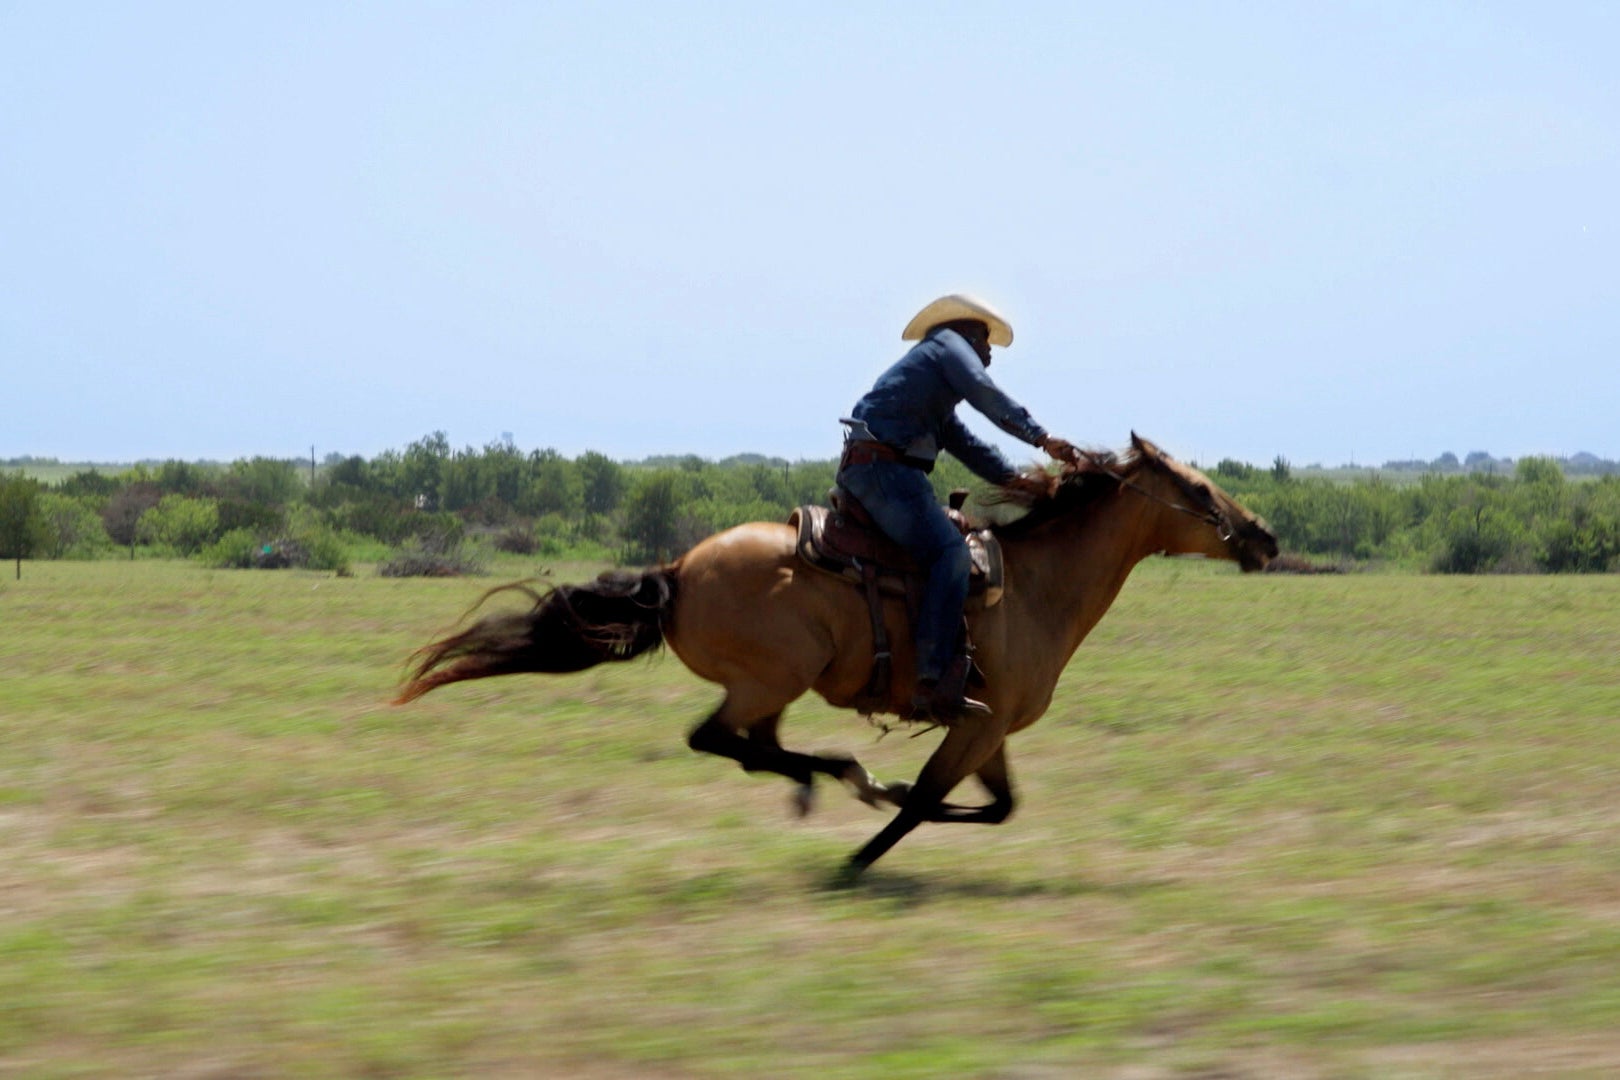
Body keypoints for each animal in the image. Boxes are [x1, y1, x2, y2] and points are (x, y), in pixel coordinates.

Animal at [396, 434, 1278, 876]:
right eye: (1201, 491)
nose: (1264, 536)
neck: (1033, 587)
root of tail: (676, 572)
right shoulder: (978, 723)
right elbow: (927, 803)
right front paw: (862, 851)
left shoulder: (990, 731)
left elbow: (995, 807)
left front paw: (879, 803)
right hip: (770, 679)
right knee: (717, 739)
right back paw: (843, 777)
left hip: (774, 689)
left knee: (756, 748)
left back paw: (827, 780)